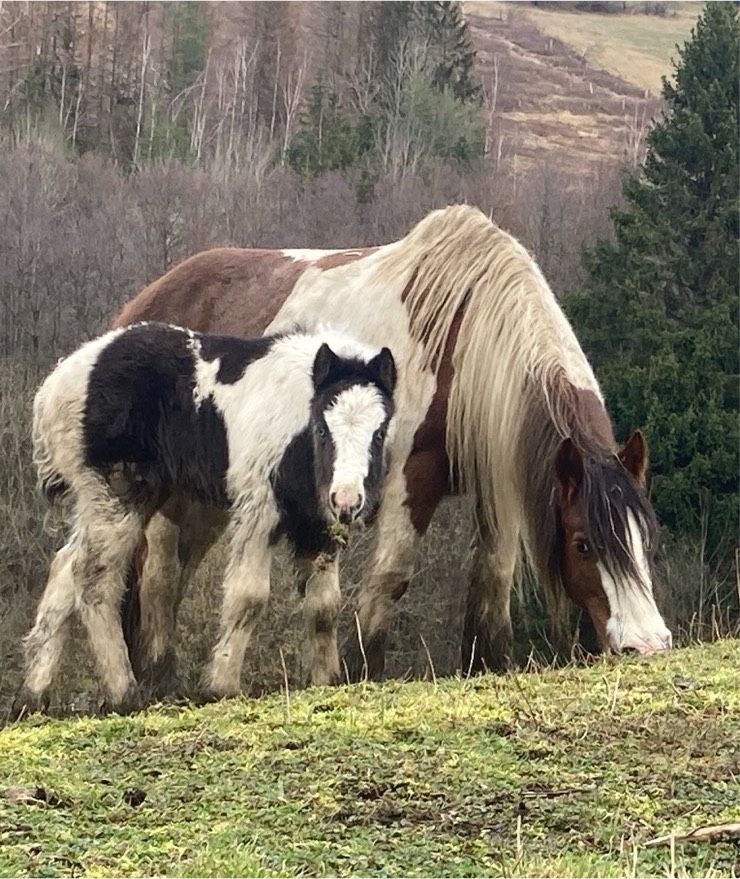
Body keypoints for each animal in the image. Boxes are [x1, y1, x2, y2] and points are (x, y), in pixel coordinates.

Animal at [13, 324, 394, 716]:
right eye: (322, 429)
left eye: (379, 432)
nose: (348, 500)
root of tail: (54, 387)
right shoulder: (258, 509)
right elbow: (248, 596)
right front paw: (219, 685)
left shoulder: (318, 524)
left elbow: (324, 606)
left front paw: (326, 681)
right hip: (115, 495)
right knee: (94, 579)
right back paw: (122, 692)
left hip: (126, 498)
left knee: (65, 569)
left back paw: (32, 697)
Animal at [114, 206, 672, 696]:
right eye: (583, 543)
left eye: (647, 538)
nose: (646, 645)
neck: (462, 341)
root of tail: (142, 307)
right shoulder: (409, 480)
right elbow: (389, 580)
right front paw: (359, 673)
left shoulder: (498, 484)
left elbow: (492, 580)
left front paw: (488, 664)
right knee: (159, 573)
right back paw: (159, 678)